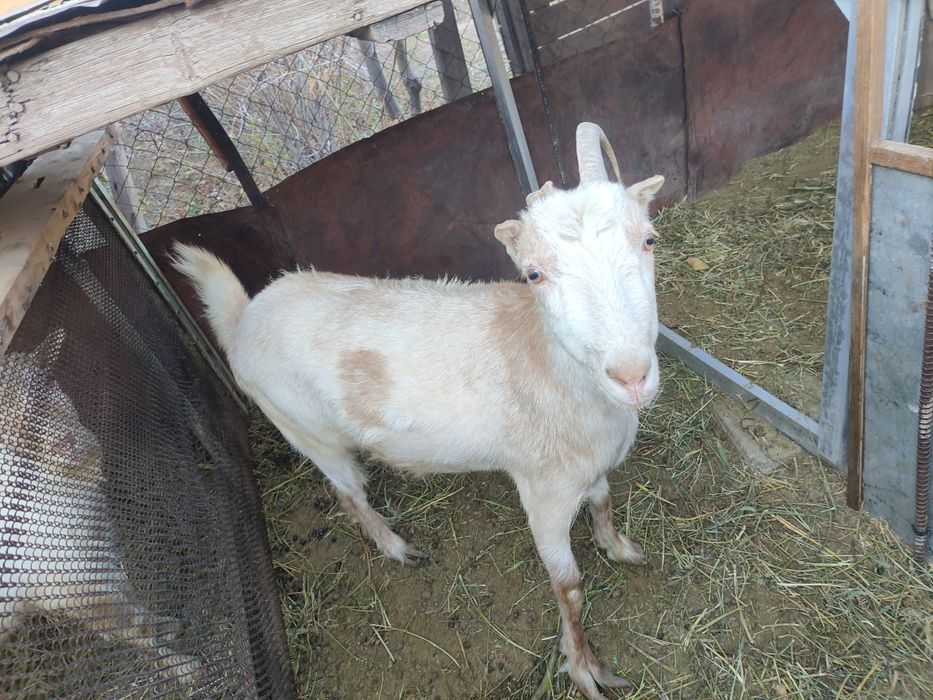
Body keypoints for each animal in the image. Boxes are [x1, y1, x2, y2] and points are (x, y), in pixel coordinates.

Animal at [172, 122, 664, 699]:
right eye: (534, 274)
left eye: (649, 239)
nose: (631, 375)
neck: (548, 363)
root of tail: (243, 318)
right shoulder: (543, 493)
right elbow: (570, 589)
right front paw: (585, 669)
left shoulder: (588, 467)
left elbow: (604, 502)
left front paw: (620, 548)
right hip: (308, 432)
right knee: (347, 493)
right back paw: (395, 546)